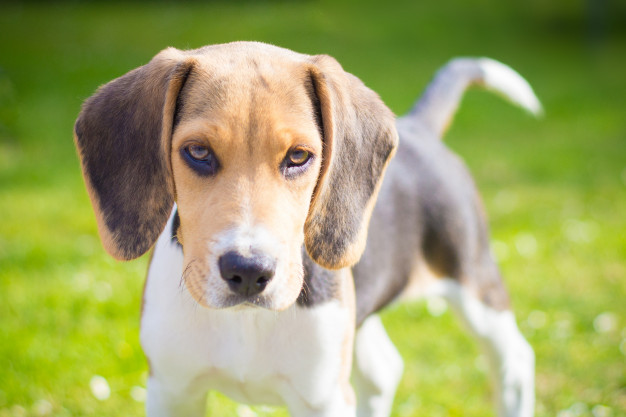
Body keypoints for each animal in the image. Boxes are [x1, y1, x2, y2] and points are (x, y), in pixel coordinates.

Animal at [73, 40, 540, 414]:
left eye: (298, 156)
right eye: (198, 152)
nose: (248, 271)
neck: (245, 320)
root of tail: (417, 127)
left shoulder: (323, 398)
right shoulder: (172, 391)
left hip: (474, 281)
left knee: (516, 359)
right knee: (384, 370)